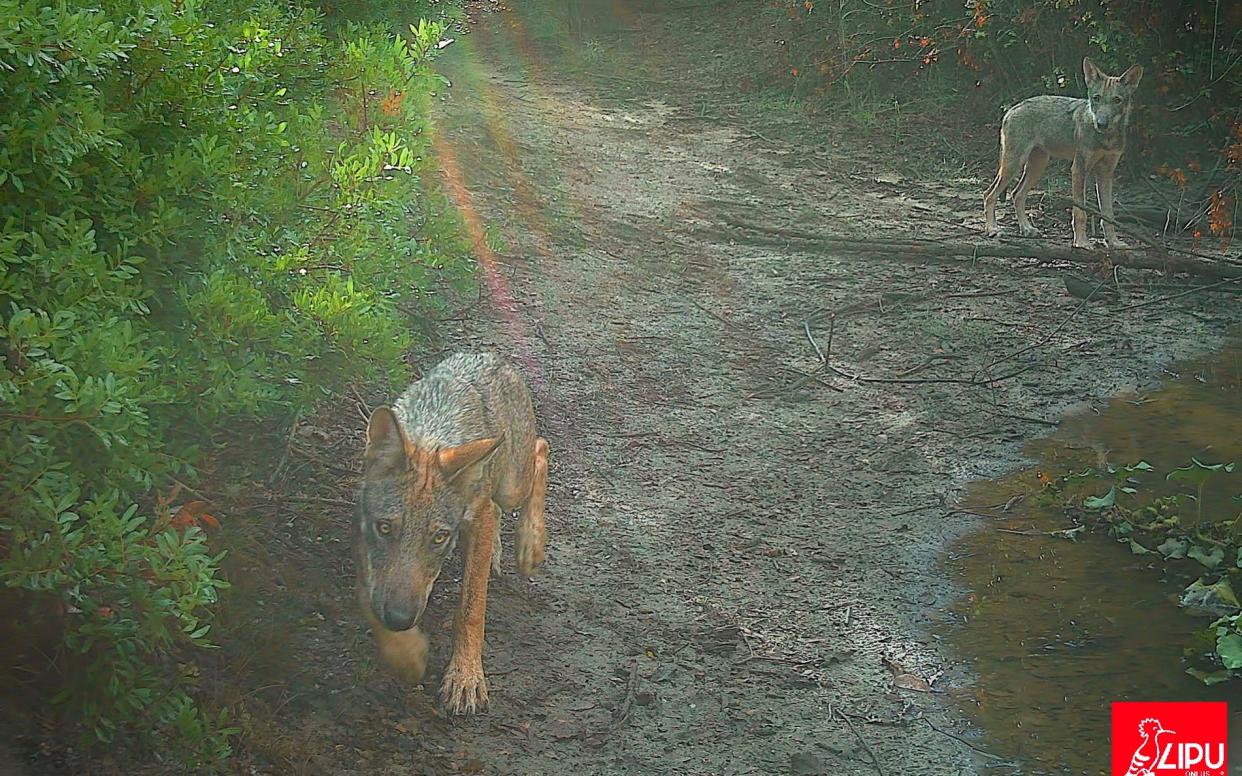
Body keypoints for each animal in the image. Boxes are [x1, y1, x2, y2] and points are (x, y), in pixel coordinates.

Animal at [350, 350, 543, 715]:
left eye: (438, 538)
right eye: (385, 528)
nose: (400, 618)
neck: (431, 432)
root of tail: (487, 354)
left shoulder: (477, 518)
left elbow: (471, 609)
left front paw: (465, 677)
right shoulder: (365, 538)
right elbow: (369, 599)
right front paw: (406, 654)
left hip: (511, 485)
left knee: (541, 450)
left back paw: (531, 544)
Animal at [978, 55, 1142, 247]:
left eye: (1117, 100)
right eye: (1097, 98)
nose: (1101, 123)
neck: (1106, 138)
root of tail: (1012, 109)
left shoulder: (1106, 174)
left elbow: (1108, 215)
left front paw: (1114, 243)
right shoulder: (1078, 170)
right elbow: (1080, 213)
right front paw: (1081, 243)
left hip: (1037, 167)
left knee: (1016, 194)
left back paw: (1027, 229)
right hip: (1013, 166)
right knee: (989, 194)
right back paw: (992, 229)